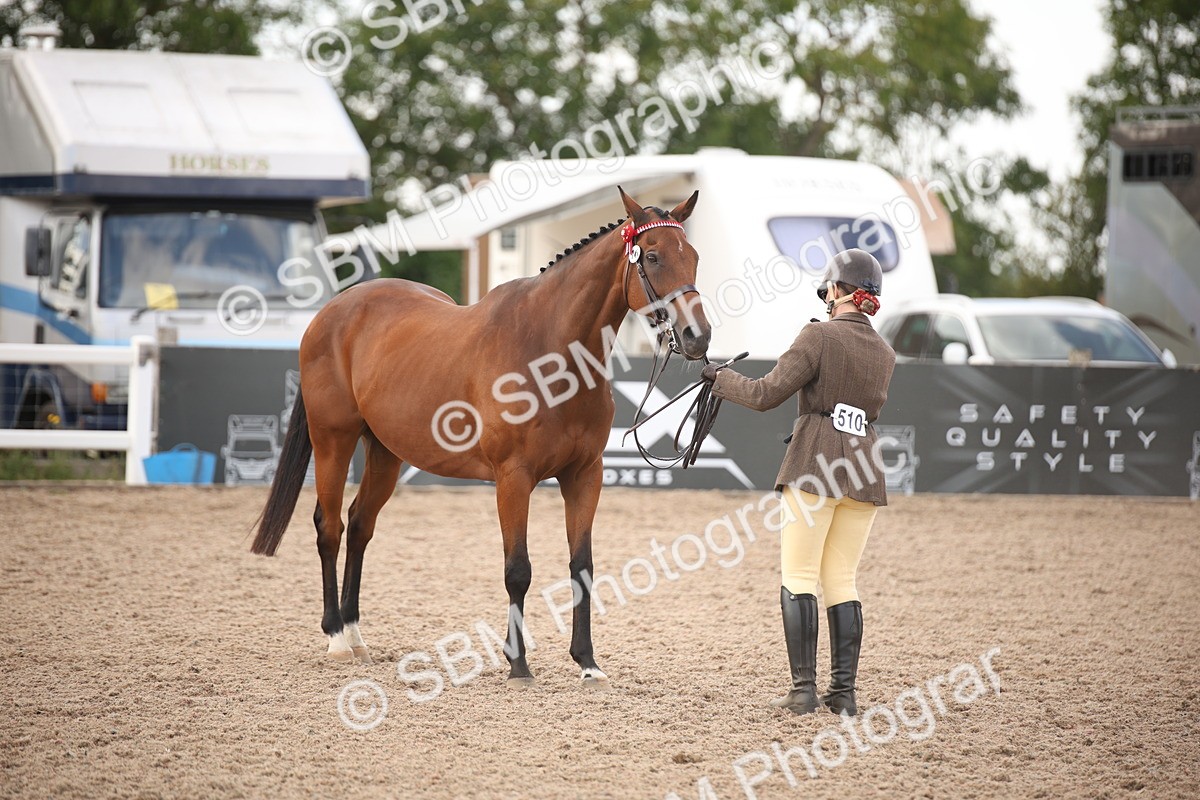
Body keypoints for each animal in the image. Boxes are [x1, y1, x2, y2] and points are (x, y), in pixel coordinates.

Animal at [250, 187, 712, 687]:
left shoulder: (584, 476)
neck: (550, 352)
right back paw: (336, 637)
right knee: (330, 527)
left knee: (359, 525)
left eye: (694, 257)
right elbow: (518, 570)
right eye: (653, 256)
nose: (698, 337)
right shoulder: (513, 478)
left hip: (386, 453)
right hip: (333, 439)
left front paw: (587, 662)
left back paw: (355, 635)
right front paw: (518, 664)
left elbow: (582, 567)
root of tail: (332, 311)